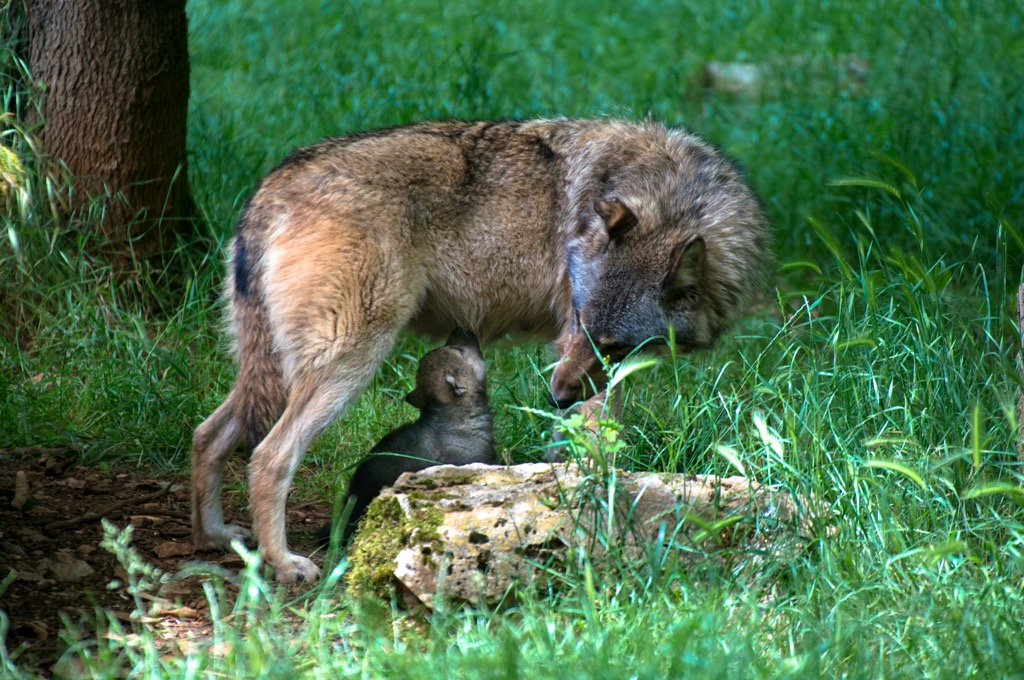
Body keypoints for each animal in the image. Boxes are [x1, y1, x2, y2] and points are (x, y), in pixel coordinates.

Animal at [190, 116, 770, 577]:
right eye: (579, 320)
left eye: (613, 343)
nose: (555, 397)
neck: (674, 195)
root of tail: (274, 185)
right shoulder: (574, 356)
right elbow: (593, 450)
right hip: (348, 365)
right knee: (268, 457)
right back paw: (283, 564)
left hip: (274, 372)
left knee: (207, 434)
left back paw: (214, 536)